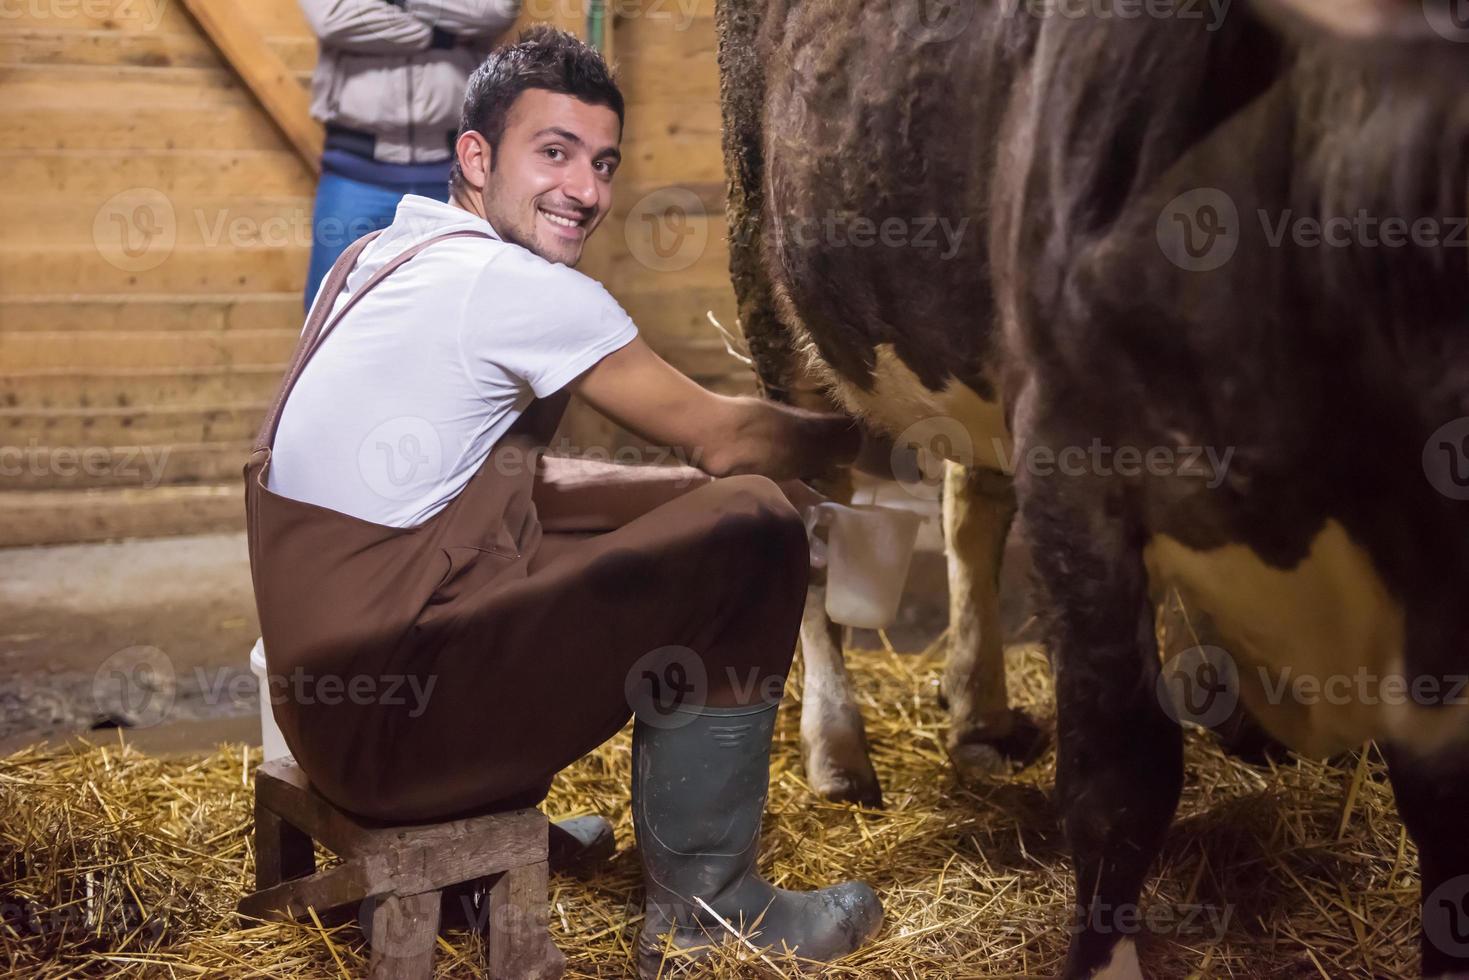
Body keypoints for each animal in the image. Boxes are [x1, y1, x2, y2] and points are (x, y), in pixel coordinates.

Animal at [716, 0, 1469, 975]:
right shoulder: (1079, 465)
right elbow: (1123, 775)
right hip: (774, 285)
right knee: (809, 514)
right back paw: (838, 749)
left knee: (969, 502)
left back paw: (981, 714)